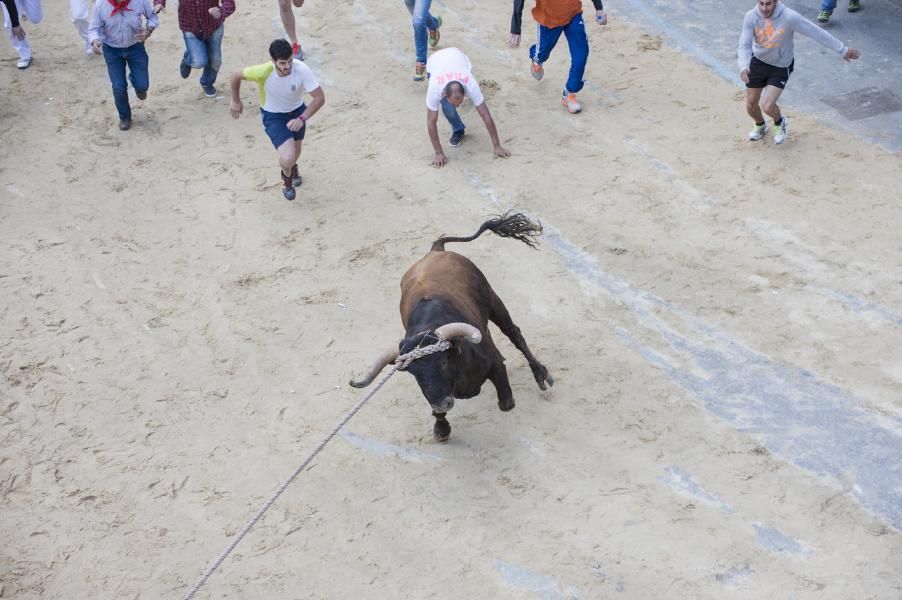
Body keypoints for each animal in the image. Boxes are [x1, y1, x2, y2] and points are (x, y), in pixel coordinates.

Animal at [352, 212, 552, 440]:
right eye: (413, 372)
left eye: (443, 362)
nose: (442, 404)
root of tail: (435, 250)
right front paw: (441, 428)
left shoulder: (494, 366)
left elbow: (506, 403)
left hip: (493, 299)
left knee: (513, 333)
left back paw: (540, 373)